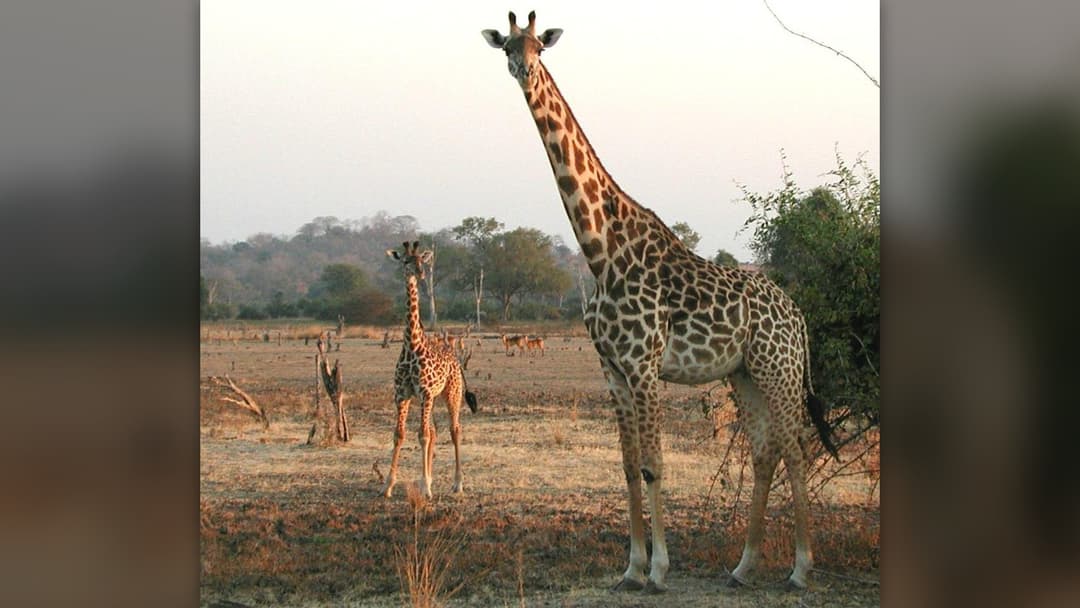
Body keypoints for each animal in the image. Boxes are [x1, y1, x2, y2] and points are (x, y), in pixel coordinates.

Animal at [384, 241, 479, 498]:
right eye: (406, 260)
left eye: (421, 261)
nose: (421, 274)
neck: (411, 344)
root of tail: (456, 359)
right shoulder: (402, 394)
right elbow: (400, 435)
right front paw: (388, 485)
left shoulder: (424, 393)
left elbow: (422, 435)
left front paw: (426, 488)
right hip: (434, 398)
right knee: (435, 430)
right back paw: (428, 479)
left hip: (451, 393)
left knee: (454, 429)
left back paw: (457, 483)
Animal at [482, 12, 839, 592]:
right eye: (508, 46)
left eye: (540, 47)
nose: (524, 69)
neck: (600, 252)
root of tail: (799, 315)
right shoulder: (612, 370)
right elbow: (628, 468)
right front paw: (629, 568)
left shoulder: (645, 367)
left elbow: (654, 466)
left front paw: (658, 570)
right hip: (743, 375)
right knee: (765, 453)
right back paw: (742, 566)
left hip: (780, 371)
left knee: (795, 449)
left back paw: (801, 569)